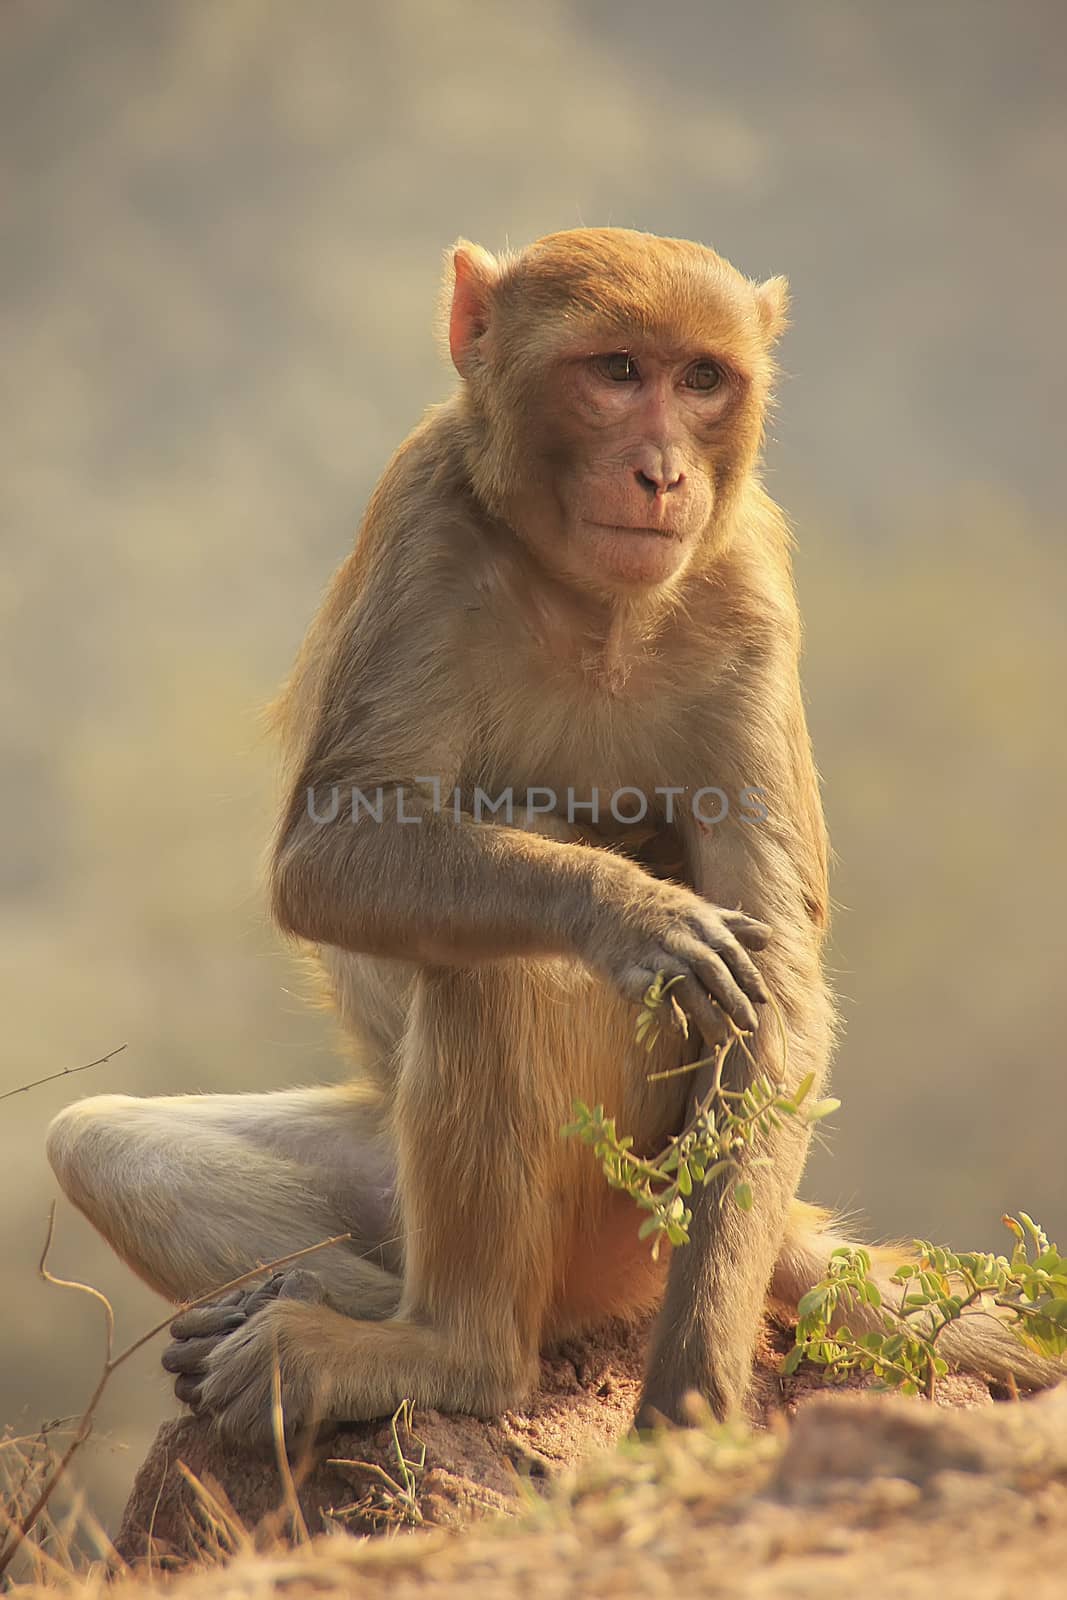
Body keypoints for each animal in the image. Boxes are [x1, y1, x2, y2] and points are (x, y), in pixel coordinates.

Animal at [43, 225, 1062, 1440]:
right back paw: (364, 1313)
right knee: (107, 1141)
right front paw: (628, 911)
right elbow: (328, 854)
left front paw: (688, 1395)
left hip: (628, 1218)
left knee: (498, 975)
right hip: (426, 1179)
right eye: (616, 371)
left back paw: (447, 1353)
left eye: (701, 379)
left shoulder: (750, 586)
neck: (592, 606)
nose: (662, 473)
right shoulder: (426, 522)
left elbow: (775, 987)